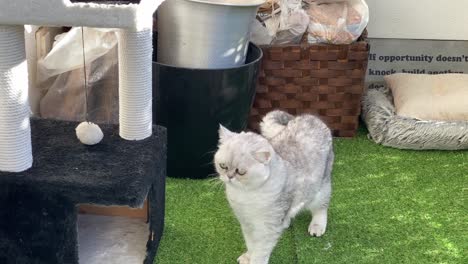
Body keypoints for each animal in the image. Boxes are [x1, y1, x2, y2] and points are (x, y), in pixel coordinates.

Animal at [214, 110, 334, 264]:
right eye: (223, 166)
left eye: (240, 172)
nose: (229, 176)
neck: (246, 194)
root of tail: (310, 117)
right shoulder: (247, 223)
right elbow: (250, 244)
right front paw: (248, 256)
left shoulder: (267, 229)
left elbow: (260, 251)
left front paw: (254, 260)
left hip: (320, 189)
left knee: (321, 208)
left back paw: (317, 226)